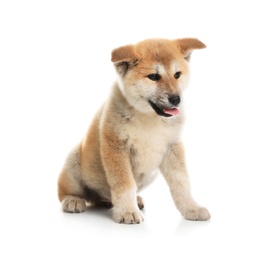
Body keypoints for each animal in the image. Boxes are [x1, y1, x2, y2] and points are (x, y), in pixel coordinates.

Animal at [57, 37, 211, 224]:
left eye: (177, 74)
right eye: (154, 76)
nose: (176, 99)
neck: (149, 118)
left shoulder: (173, 148)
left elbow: (181, 183)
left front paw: (191, 208)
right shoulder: (116, 147)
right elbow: (125, 184)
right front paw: (127, 211)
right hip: (73, 162)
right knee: (64, 192)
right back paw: (72, 200)